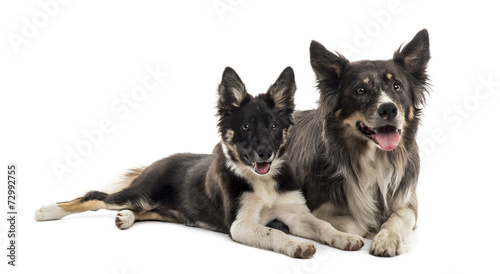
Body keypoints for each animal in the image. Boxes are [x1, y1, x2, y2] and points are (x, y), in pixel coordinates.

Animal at [35, 67, 364, 258]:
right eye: (246, 127)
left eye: (273, 126)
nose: (265, 154)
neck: (261, 181)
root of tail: (159, 160)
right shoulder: (240, 224)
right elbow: (274, 232)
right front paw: (296, 245)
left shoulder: (295, 213)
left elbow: (322, 224)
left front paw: (345, 237)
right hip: (142, 191)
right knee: (96, 196)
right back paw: (48, 210)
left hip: (167, 210)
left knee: (143, 212)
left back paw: (126, 218)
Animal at [288, 28, 432, 256]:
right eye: (360, 90)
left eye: (397, 86)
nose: (389, 109)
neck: (372, 157)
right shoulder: (316, 207)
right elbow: (357, 223)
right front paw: (371, 228)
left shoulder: (408, 201)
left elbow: (400, 218)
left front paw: (386, 239)